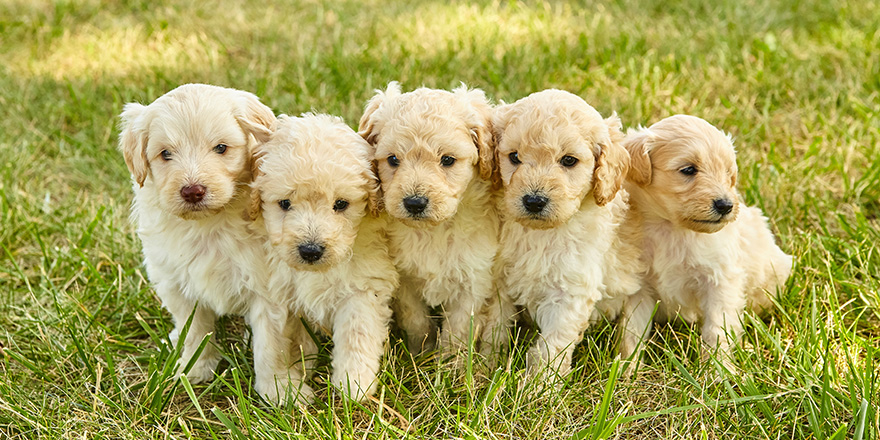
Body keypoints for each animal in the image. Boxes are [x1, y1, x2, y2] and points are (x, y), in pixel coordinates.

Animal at [117, 83, 276, 384]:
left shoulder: (268, 288)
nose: (192, 191)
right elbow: (194, 331)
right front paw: (195, 368)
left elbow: (271, 346)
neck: (209, 225)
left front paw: (282, 388)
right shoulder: (176, 284)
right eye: (166, 154)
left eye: (221, 148)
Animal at [249, 113, 398, 402]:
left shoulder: (363, 287)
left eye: (340, 204)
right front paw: (281, 389)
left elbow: (357, 334)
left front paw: (354, 384)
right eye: (285, 203)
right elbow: (270, 342)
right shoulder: (270, 288)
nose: (310, 250)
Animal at [356, 81, 496, 358]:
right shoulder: (404, 280)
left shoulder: (473, 282)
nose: (414, 203)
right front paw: (421, 354)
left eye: (448, 160)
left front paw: (450, 364)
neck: (434, 230)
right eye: (393, 159)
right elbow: (416, 320)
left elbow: (458, 332)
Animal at [478, 90, 644, 378]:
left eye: (568, 161)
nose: (534, 201)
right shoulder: (502, 280)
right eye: (514, 157)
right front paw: (486, 368)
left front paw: (537, 385)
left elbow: (551, 347)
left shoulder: (570, 292)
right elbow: (495, 328)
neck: (542, 234)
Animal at [616, 113, 796, 372]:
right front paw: (627, 370)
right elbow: (632, 331)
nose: (726, 205)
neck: (672, 229)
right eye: (689, 170)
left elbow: (717, 330)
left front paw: (718, 373)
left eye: (728, 173)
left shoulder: (720, 281)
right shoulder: (640, 286)